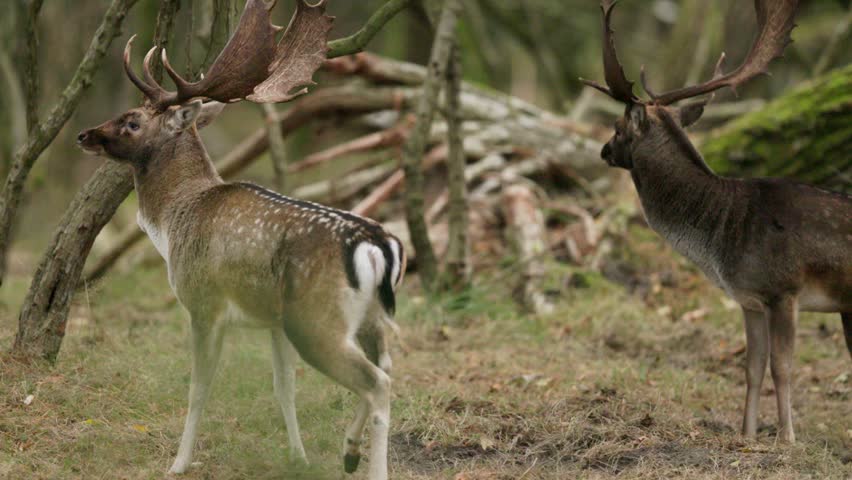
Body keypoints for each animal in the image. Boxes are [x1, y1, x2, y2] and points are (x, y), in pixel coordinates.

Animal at [76, 1, 405, 478]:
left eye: (133, 121)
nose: (84, 135)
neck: (173, 221)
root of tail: (378, 245)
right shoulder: (272, 320)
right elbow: (283, 386)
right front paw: (298, 456)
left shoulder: (203, 302)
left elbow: (199, 386)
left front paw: (178, 463)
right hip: (362, 318)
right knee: (387, 368)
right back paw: (348, 450)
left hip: (315, 319)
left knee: (376, 383)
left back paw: (368, 463)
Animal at [581, 0, 851, 444]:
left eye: (618, 127)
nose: (603, 150)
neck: (722, 234)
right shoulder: (749, 299)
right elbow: (752, 368)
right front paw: (747, 436)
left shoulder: (784, 289)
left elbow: (782, 367)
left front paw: (787, 439)